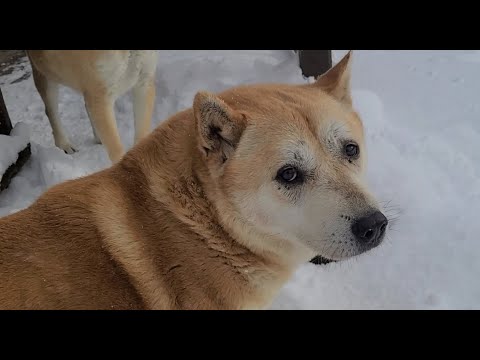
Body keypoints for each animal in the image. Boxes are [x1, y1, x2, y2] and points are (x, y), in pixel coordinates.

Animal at [26, 50, 158, 162]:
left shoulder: (144, 81)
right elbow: (116, 149)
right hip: (45, 73)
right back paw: (64, 144)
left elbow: (142, 134)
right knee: (51, 111)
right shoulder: (100, 92)